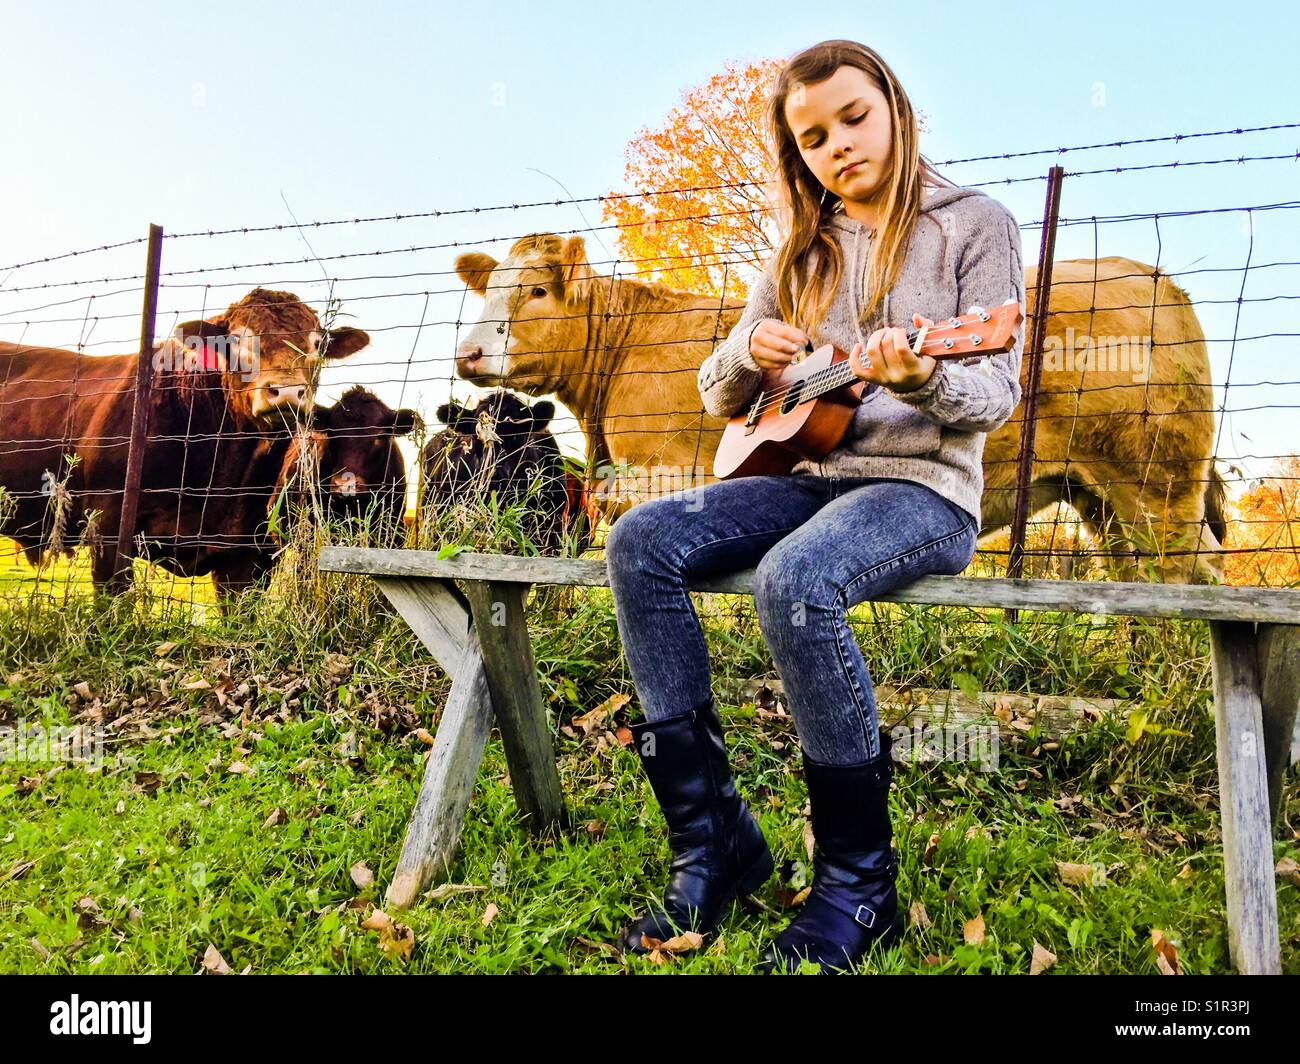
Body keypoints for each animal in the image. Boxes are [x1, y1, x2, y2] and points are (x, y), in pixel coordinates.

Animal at [457, 234, 1227, 580]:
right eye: (487, 288)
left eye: (535, 291)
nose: (466, 353)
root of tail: (1151, 274)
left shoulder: (665, 468)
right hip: (1100, 496)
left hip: (1155, 486)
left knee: (1190, 573)